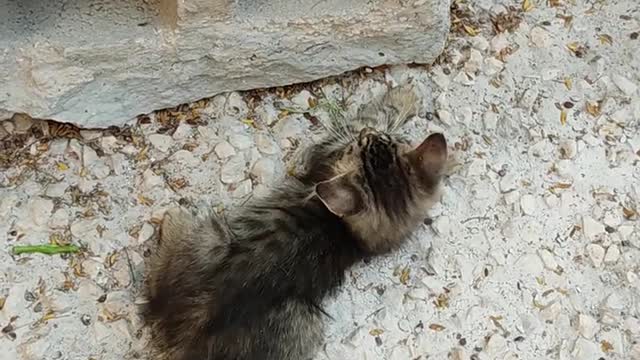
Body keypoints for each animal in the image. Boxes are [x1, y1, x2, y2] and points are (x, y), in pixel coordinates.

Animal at [142, 85, 448, 360]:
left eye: (363, 144)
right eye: (379, 141)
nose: (366, 137)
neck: (347, 232)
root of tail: (185, 331)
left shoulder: (327, 151)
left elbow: (370, 116)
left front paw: (400, 97)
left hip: (215, 240)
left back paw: (173, 217)